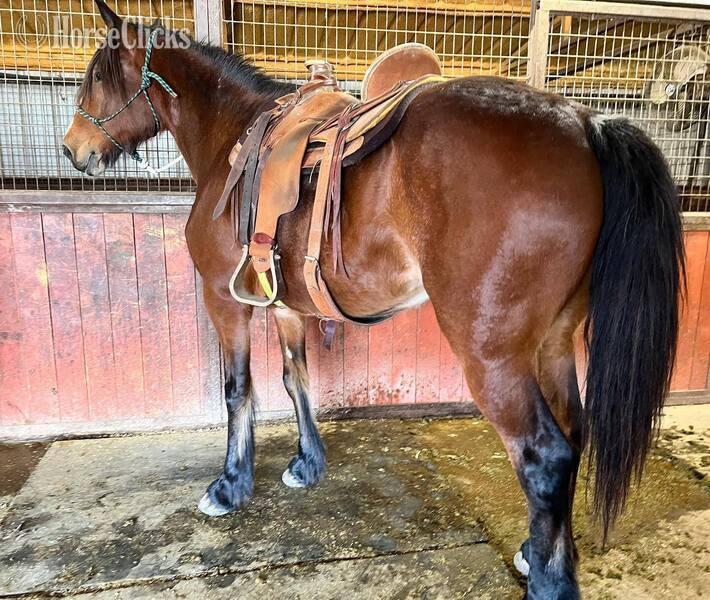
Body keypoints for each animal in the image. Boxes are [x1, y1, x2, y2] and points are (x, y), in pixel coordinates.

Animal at [62, 2, 684, 597]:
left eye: (98, 76)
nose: (72, 150)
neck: (232, 142)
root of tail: (585, 121)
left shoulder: (225, 301)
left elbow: (239, 390)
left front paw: (230, 485)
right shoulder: (286, 305)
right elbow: (295, 378)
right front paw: (307, 463)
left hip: (494, 358)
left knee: (545, 457)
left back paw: (549, 580)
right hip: (553, 342)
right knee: (573, 435)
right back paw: (538, 553)